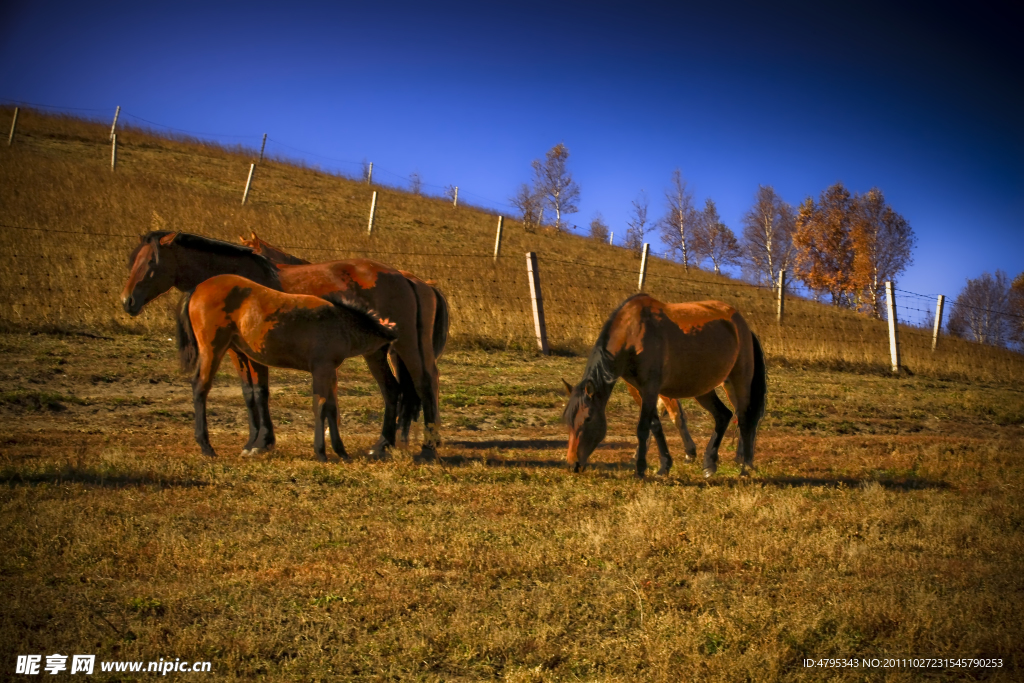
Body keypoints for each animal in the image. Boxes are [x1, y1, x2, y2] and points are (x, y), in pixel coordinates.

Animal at [561, 294, 770, 481]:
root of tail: (743, 326)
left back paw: (745, 467)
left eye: (588, 418)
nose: (573, 465)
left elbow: (643, 428)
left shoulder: (651, 388)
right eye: (568, 420)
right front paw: (664, 466)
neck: (633, 333)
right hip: (703, 387)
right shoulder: (639, 390)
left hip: (739, 381)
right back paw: (710, 464)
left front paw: (640, 469)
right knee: (723, 415)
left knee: (745, 419)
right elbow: (655, 426)